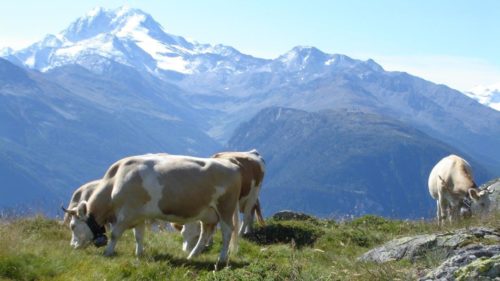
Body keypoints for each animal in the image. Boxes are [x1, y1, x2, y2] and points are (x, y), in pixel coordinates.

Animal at [62, 153, 242, 270]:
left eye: (73, 226)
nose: (72, 246)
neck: (115, 182)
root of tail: (231, 165)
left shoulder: (127, 213)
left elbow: (115, 234)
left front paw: (108, 252)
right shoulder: (138, 216)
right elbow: (139, 236)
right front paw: (139, 254)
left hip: (225, 208)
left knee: (227, 232)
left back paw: (221, 259)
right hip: (207, 213)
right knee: (205, 233)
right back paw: (192, 255)